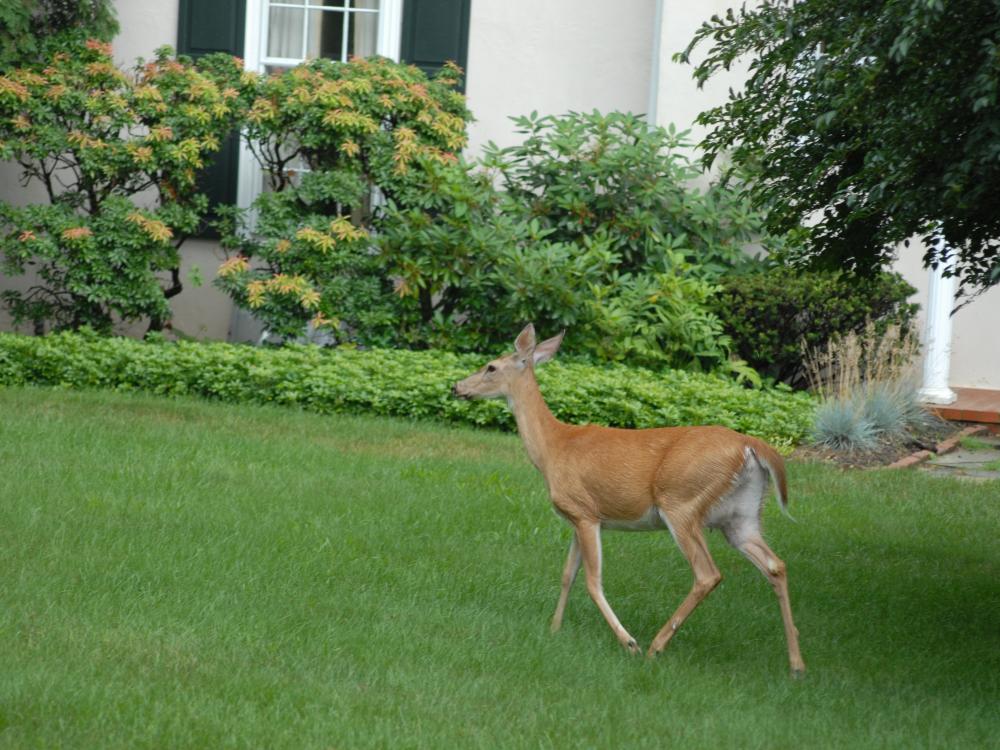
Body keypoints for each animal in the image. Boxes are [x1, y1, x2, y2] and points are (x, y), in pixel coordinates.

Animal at [454, 324, 804, 676]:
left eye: (491, 367)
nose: (457, 387)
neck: (553, 448)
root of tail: (752, 445)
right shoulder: (577, 518)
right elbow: (567, 575)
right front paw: (554, 629)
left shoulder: (585, 511)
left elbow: (592, 581)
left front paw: (628, 642)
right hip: (741, 516)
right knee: (776, 565)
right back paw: (796, 664)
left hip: (682, 502)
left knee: (708, 574)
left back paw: (655, 646)